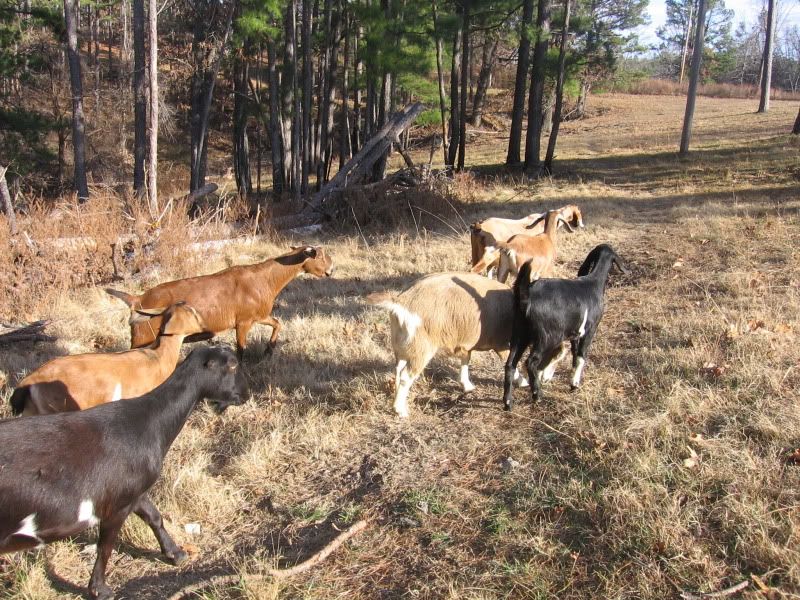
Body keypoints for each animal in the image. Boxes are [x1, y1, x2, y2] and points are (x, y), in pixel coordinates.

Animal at [0, 346, 247, 600]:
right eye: (233, 364)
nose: (245, 394)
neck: (148, 421)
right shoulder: (116, 505)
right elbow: (105, 546)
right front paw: (99, 589)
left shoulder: (133, 490)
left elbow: (153, 516)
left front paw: (175, 553)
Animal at [106, 245, 333, 359]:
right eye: (320, 257)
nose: (332, 270)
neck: (265, 280)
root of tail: (137, 299)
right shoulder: (242, 322)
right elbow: (240, 350)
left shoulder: (258, 315)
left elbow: (278, 323)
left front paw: (269, 351)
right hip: (143, 337)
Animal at [367, 272, 529, 418]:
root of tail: (401, 302)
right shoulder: (501, 343)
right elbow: (510, 363)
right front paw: (523, 382)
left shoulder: (466, 342)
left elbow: (465, 360)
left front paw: (467, 385)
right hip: (421, 349)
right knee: (406, 376)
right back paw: (400, 411)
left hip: (401, 346)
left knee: (398, 370)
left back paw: (396, 400)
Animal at [502, 244, 629, 410]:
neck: (593, 282)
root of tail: (527, 298)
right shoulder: (590, 330)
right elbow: (581, 355)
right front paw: (574, 384)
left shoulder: (575, 333)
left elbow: (575, 355)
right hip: (547, 337)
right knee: (531, 362)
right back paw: (537, 395)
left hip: (520, 333)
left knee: (510, 365)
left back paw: (508, 403)